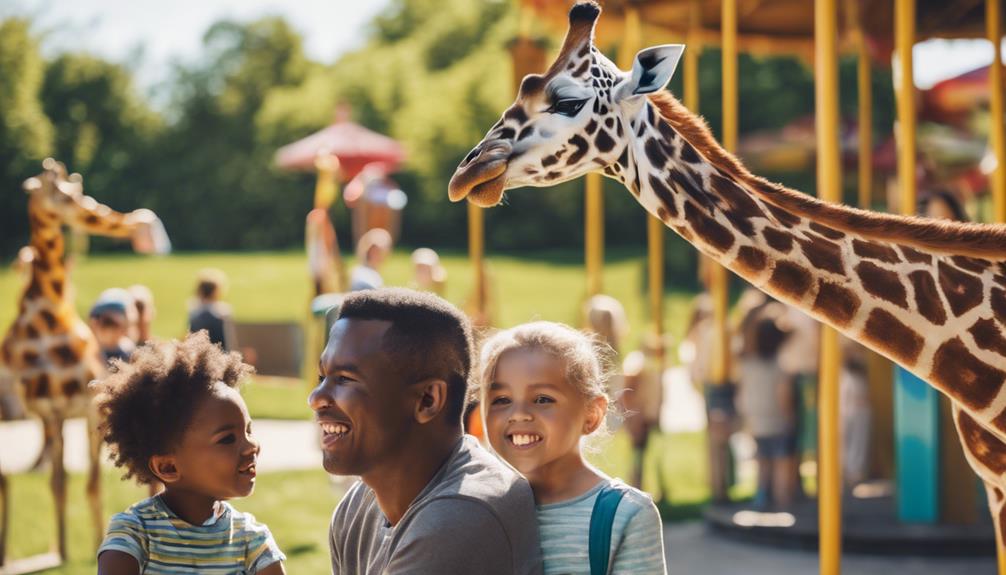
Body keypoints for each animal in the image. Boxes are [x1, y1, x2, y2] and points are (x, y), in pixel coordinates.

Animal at [0, 158, 164, 566]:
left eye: (75, 190)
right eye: (54, 192)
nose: (89, 212)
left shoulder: (89, 411)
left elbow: (91, 485)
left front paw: (93, 548)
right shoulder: (50, 411)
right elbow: (58, 482)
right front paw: (60, 551)